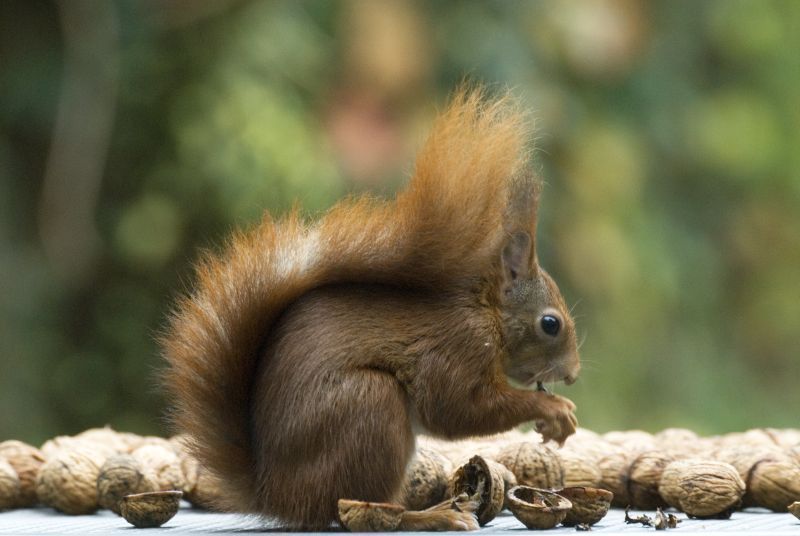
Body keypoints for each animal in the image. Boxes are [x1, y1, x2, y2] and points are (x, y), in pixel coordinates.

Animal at [161, 86, 580, 528]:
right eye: (550, 323)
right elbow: (456, 409)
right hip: (369, 408)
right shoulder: (458, 347)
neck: (487, 314)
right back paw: (432, 517)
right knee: (363, 510)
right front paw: (554, 408)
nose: (572, 374)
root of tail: (275, 495)